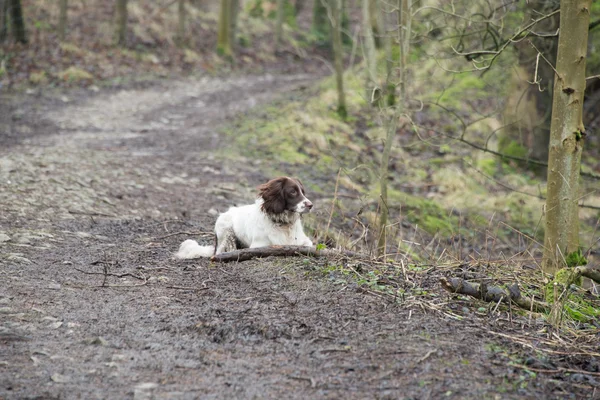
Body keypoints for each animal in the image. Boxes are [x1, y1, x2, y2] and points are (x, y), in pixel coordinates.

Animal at [175, 176, 312, 260]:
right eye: (292, 192)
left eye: (303, 192)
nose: (310, 205)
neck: (283, 224)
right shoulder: (260, 245)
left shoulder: (303, 241)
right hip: (226, 229)